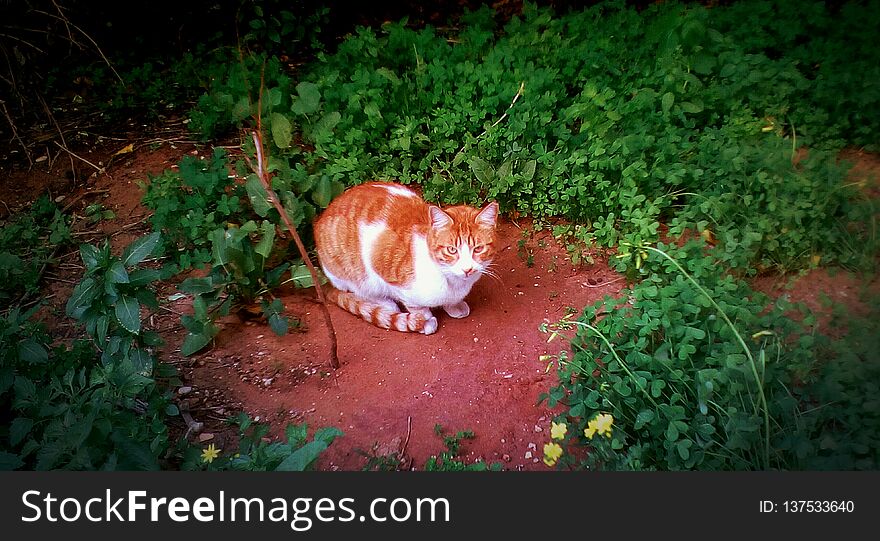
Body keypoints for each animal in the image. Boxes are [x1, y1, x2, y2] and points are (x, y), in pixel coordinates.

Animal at [314, 181, 496, 334]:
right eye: (451, 250)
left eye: (478, 248)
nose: (468, 269)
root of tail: (322, 215)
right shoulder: (380, 261)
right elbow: (416, 306)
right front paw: (425, 320)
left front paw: (454, 306)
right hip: (350, 273)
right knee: (359, 290)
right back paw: (386, 303)